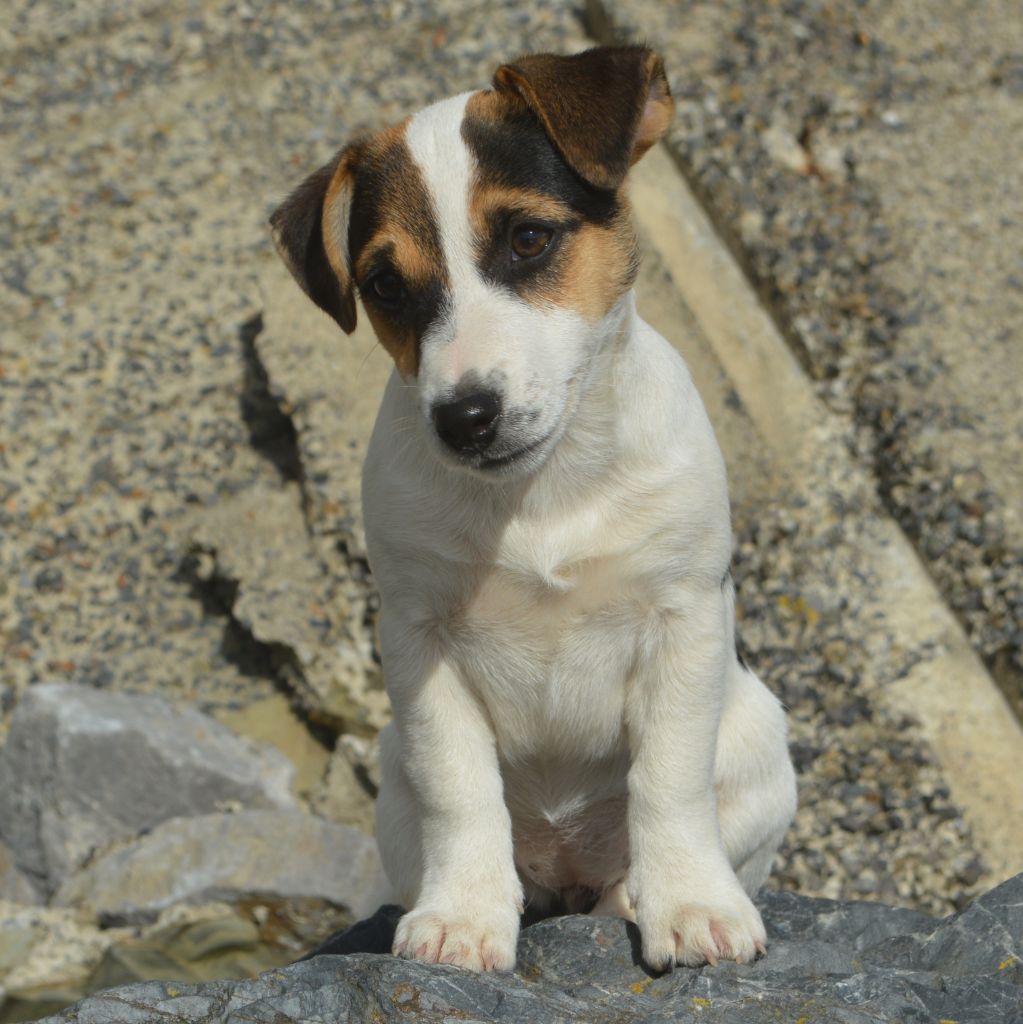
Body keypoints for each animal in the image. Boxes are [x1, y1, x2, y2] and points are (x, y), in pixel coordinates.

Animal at [272, 46, 798, 974]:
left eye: (527, 238)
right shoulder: (418, 641)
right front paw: (462, 918)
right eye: (384, 285)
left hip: (758, 744)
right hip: (392, 780)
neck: (541, 493)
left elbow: (668, 777)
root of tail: (568, 868)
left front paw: (690, 906)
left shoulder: (685, 618)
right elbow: (460, 787)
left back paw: (638, 895)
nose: (464, 418)